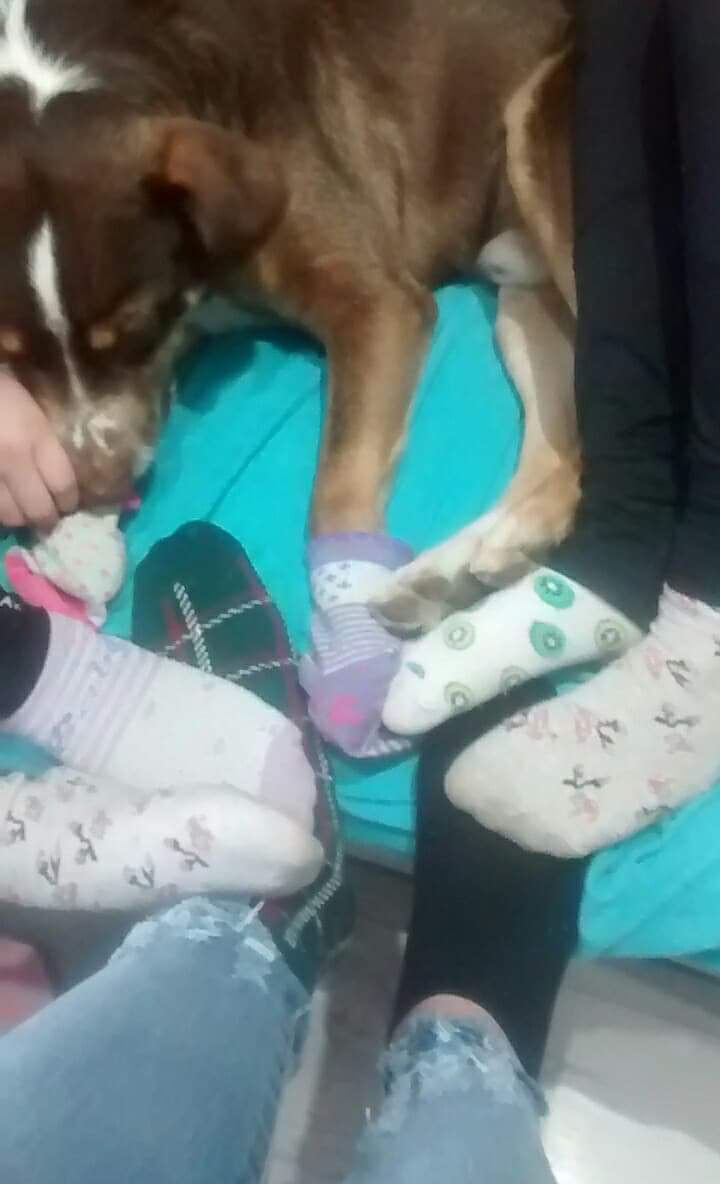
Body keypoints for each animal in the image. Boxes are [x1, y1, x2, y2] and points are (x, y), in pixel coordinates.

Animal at [0, 0, 578, 578]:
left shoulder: (378, 303)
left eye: (136, 328)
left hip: (533, 127)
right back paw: (471, 560)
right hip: (520, 294)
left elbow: (338, 495)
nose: (99, 486)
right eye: (11, 357)